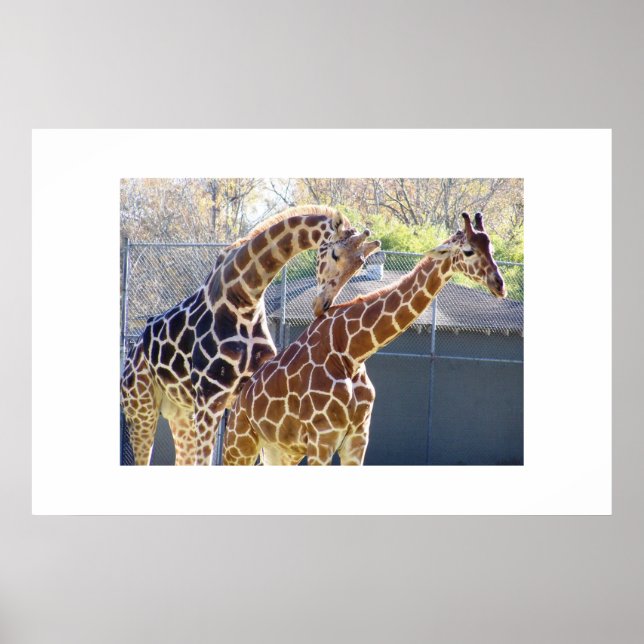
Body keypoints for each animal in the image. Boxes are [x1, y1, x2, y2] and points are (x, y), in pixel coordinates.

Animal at [121, 205, 379, 466]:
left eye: (360, 265)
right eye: (335, 254)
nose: (321, 305)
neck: (244, 296)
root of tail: (132, 351)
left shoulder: (248, 396)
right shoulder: (209, 396)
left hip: (179, 412)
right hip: (142, 408)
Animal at [223, 212, 506, 466]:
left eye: (491, 247)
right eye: (468, 251)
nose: (499, 284)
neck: (352, 353)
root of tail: (238, 401)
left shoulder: (357, 439)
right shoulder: (322, 439)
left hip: (281, 451)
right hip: (239, 443)